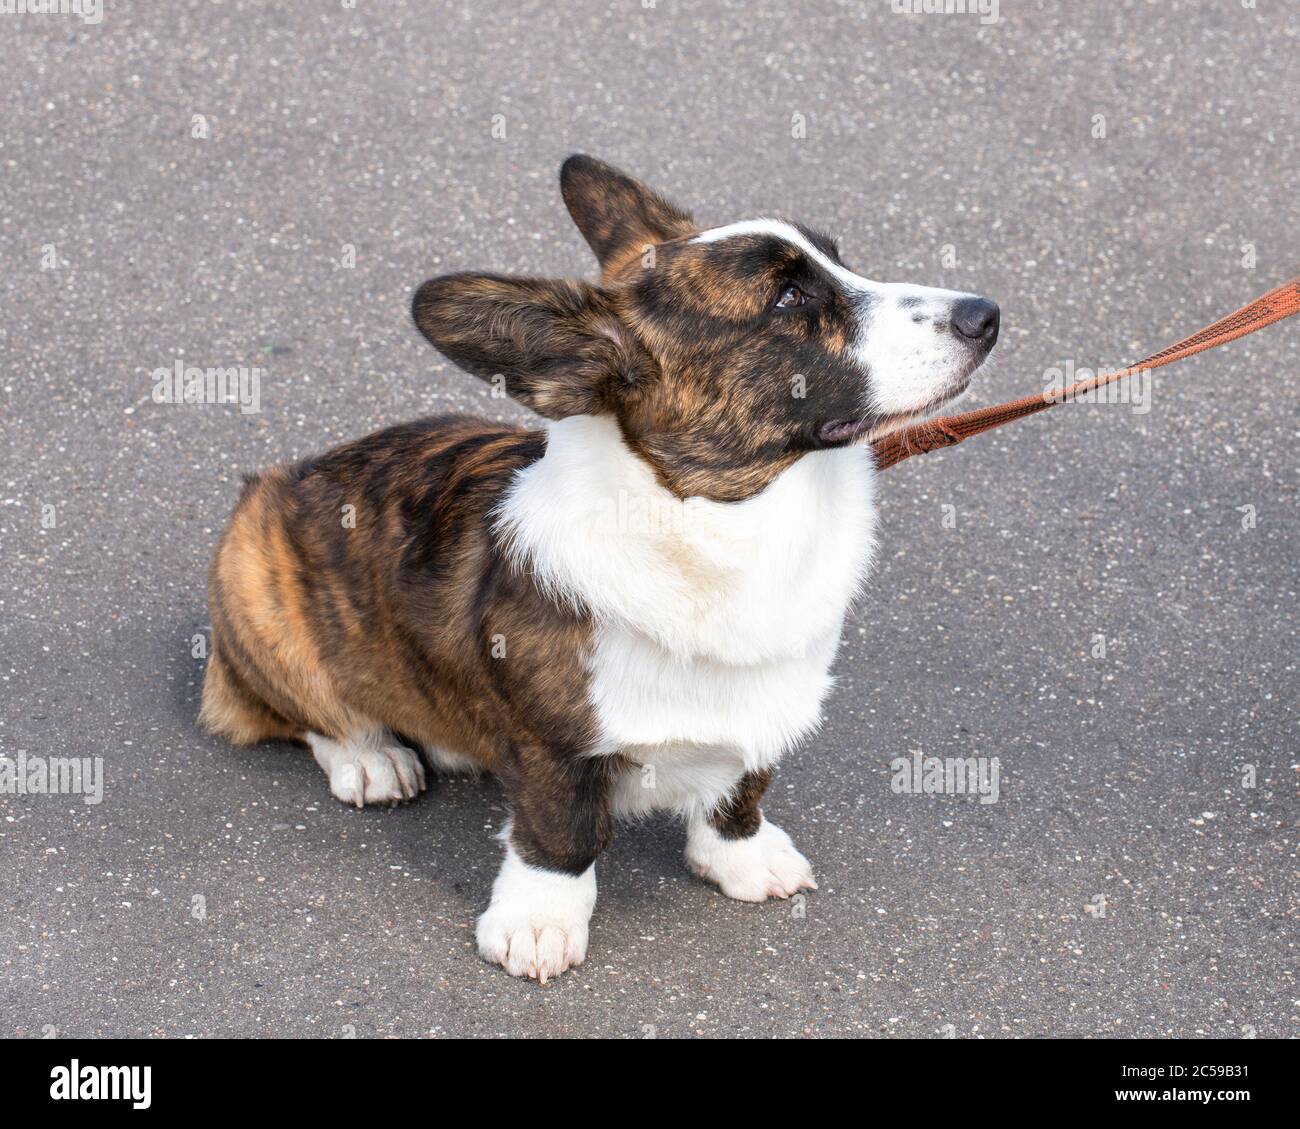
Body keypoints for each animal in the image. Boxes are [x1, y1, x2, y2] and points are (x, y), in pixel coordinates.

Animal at [197, 156, 998, 978]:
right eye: (788, 297)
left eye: (840, 259)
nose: (987, 315)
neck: (723, 521)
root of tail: (273, 484)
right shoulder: (555, 752)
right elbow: (561, 837)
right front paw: (538, 924)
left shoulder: (763, 712)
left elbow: (740, 791)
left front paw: (743, 857)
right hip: (253, 586)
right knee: (288, 707)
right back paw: (371, 758)